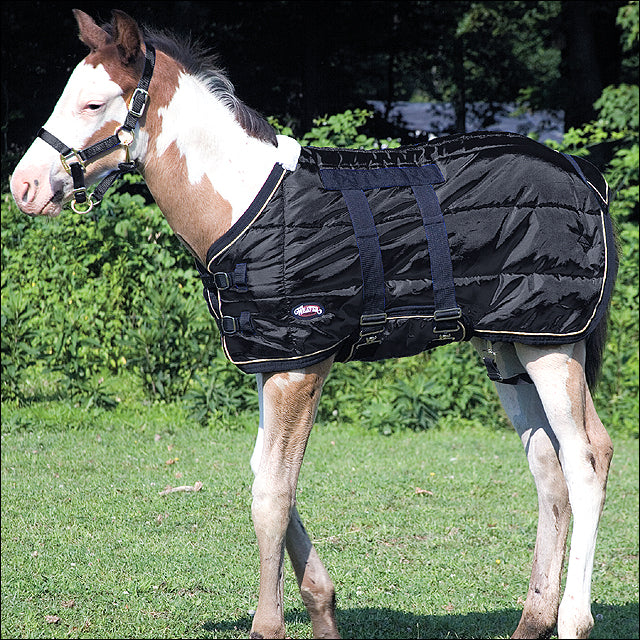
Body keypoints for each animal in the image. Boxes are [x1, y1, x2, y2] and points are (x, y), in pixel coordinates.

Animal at [10, 10, 616, 640]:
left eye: (93, 104)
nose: (24, 187)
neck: (245, 199)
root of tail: (585, 174)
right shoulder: (272, 358)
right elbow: (268, 473)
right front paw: (320, 607)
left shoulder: (300, 367)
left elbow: (272, 493)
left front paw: (268, 625)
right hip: (510, 349)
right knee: (547, 467)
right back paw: (534, 618)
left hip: (553, 346)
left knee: (587, 459)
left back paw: (573, 619)